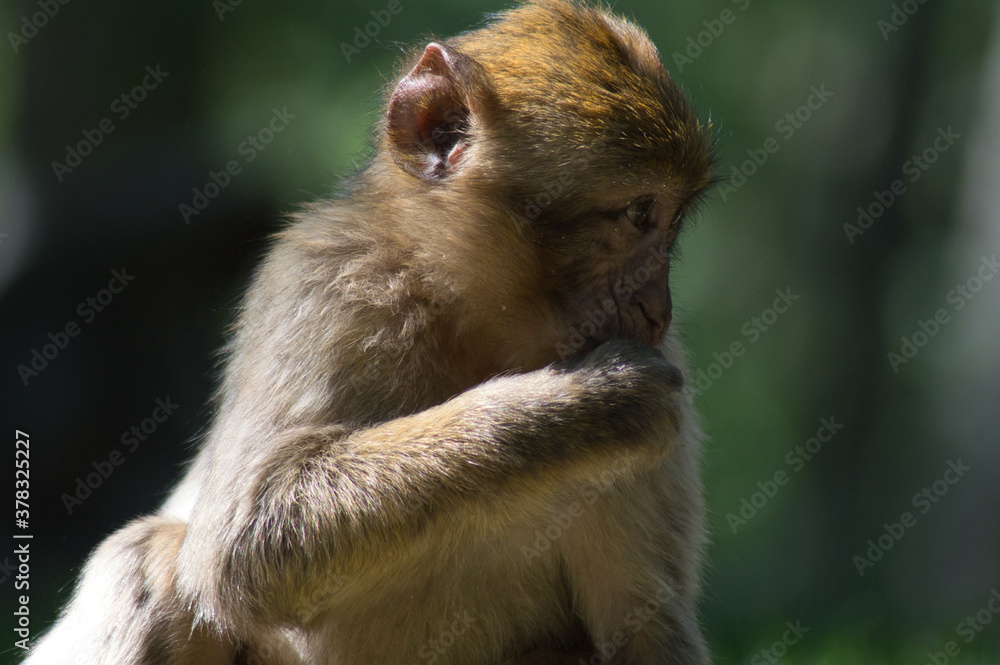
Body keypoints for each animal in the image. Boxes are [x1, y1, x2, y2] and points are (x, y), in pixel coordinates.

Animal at [25, 1, 716, 663]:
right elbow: (247, 536)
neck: (464, 316)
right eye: (639, 214)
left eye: (672, 223)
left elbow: (643, 627)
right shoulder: (324, 282)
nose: (658, 309)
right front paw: (594, 404)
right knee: (147, 556)